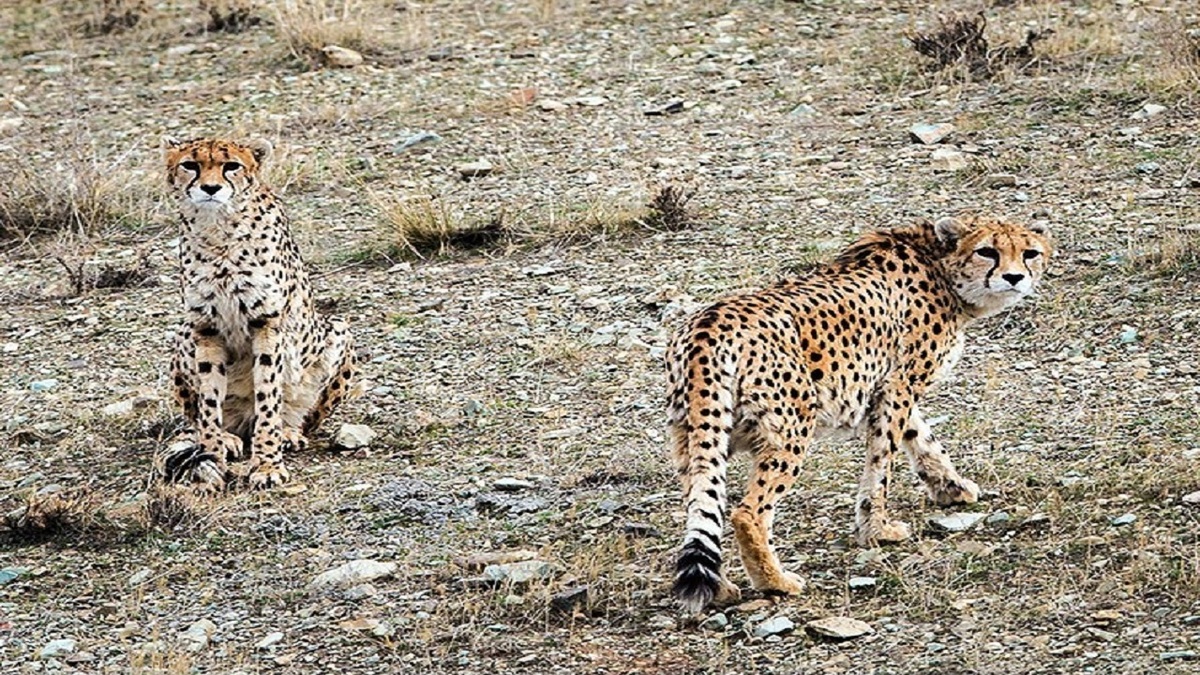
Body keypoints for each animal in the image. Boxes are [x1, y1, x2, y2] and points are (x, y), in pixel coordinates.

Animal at [158, 138, 355, 487]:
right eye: (190, 165)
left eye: (232, 166)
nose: (210, 188)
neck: (218, 231)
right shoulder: (204, 327)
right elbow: (209, 400)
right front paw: (213, 454)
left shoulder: (266, 324)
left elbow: (268, 395)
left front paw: (266, 464)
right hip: (183, 335)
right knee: (202, 417)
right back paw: (227, 438)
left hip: (338, 332)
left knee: (299, 415)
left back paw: (288, 432)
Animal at [672, 213, 1056, 610]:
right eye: (986, 251)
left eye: (1029, 253)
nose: (1014, 277)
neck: (939, 265)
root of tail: (707, 325)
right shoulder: (897, 386)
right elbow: (883, 461)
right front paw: (878, 529)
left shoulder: (889, 387)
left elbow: (922, 438)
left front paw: (951, 486)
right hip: (790, 429)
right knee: (747, 511)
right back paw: (776, 581)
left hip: (698, 435)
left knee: (702, 503)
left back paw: (720, 587)